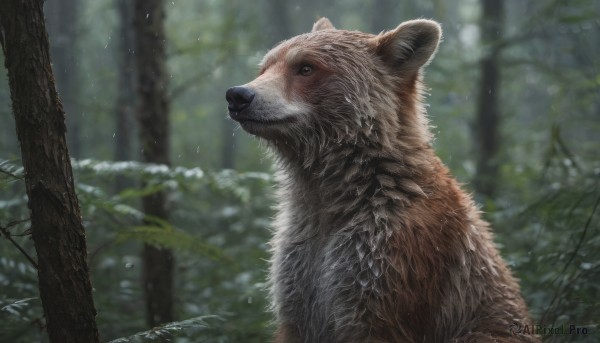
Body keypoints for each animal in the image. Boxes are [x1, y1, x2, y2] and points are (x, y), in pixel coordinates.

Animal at [226, 18, 540, 343]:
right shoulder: (301, 267)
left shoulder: (387, 263)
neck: (334, 194)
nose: (239, 95)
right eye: (265, 66)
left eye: (305, 67)